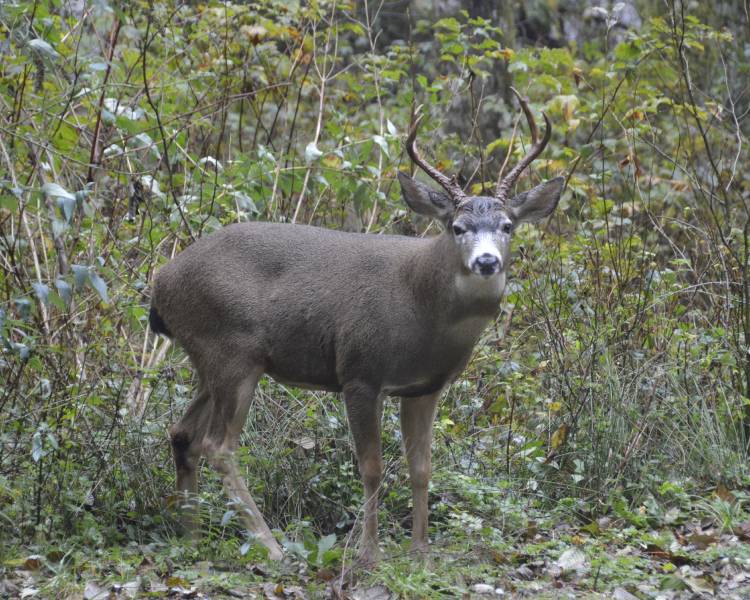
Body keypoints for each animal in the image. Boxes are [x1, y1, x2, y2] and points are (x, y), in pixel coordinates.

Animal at [148, 88, 564, 564]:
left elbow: (422, 468)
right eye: (457, 227)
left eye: (508, 225)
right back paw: (272, 548)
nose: (487, 261)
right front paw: (369, 552)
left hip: (212, 359)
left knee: (182, 434)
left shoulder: (424, 388)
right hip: (232, 353)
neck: (420, 306)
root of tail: (161, 282)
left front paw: (421, 550)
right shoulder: (359, 371)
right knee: (218, 446)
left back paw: (192, 538)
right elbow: (372, 468)